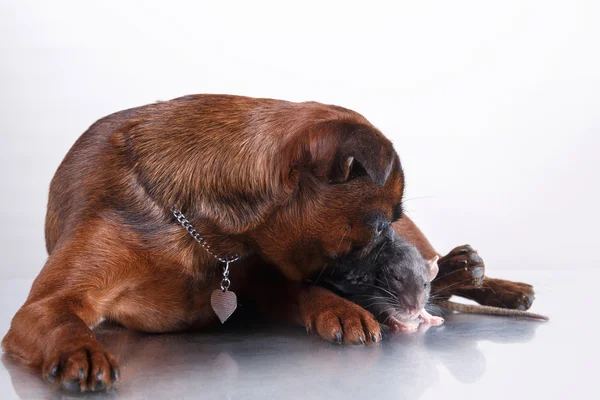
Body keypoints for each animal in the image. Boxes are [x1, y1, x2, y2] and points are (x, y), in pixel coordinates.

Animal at [0, 95, 536, 392]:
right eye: (381, 227)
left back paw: (481, 277)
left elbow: (305, 290)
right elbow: (62, 319)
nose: (414, 280)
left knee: (444, 266)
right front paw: (81, 347)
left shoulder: (262, 279)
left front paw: (339, 309)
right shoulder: (47, 305)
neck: (199, 227)